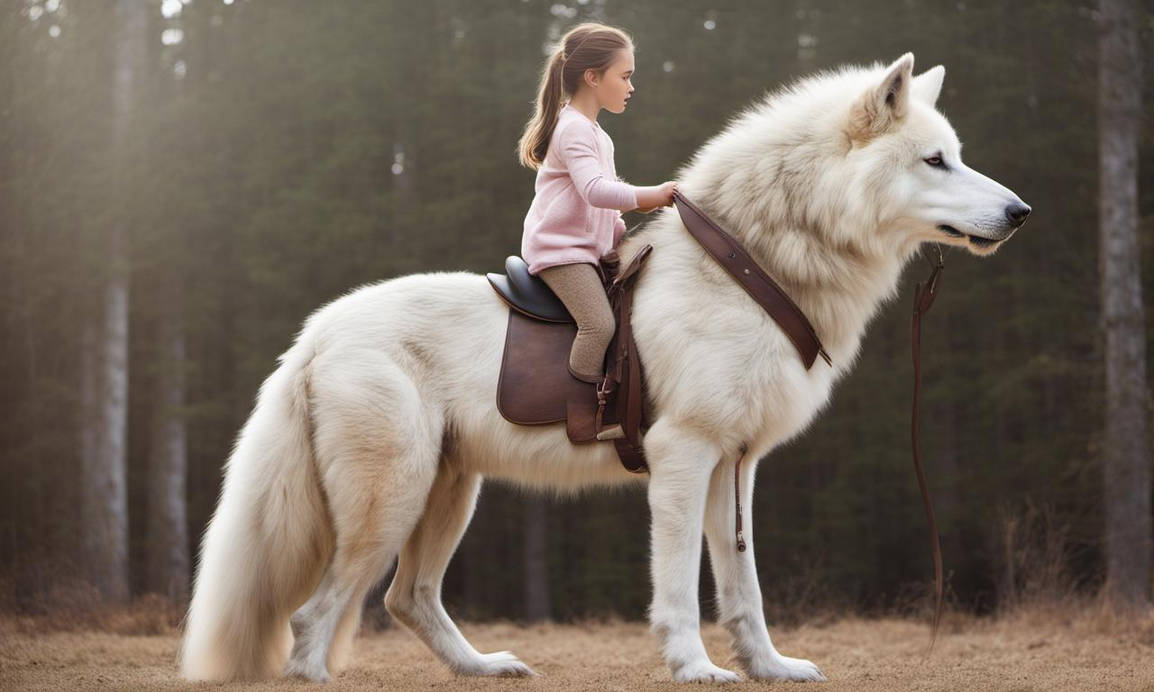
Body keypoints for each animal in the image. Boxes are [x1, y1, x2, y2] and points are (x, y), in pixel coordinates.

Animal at [179, 53, 1029, 683]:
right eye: (936, 160)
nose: (1021, 213)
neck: (751, 272)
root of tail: (313, 336)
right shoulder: (684, 458)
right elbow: (680, 585)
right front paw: (695, 668)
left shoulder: (737, 467)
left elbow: (744, 591)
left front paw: (769, 668)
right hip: (392, 502)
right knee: (314, 617)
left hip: (449, 497)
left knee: (406, 600)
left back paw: (486, 667)